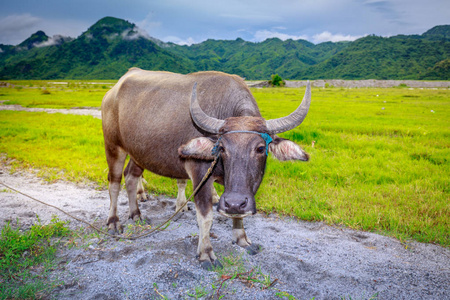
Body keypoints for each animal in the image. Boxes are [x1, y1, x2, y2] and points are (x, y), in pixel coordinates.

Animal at [101, 68, 310, 270]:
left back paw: (136, 214)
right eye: (222, 148)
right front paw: (206, 254)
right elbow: (205, 216)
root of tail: (113, 91)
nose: (234, 202)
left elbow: (238, 212)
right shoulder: (199, 174)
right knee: (114, 182)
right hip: (113, 146)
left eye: (260, 148)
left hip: (138, 153)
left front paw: (242, 240)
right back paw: (113, 222)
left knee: (131, 177)